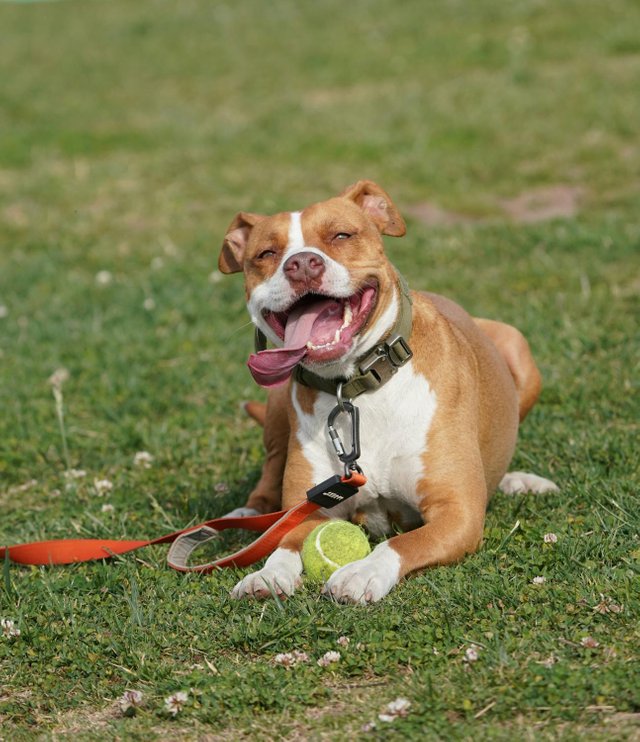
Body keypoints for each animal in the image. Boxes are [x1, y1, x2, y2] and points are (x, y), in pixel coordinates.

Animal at [218, 180, 556, 604]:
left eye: (341, 235)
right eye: (266, 253)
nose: (302, 264)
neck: (355, 388)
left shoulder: (456, 512)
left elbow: (403, 543)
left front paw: (362, 572)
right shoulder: (311, 508)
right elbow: (287, 542)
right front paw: (267, 573)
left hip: (516, 345)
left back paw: (518, 480)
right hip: (278, 399)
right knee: (270, 468)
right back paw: (247, 514)